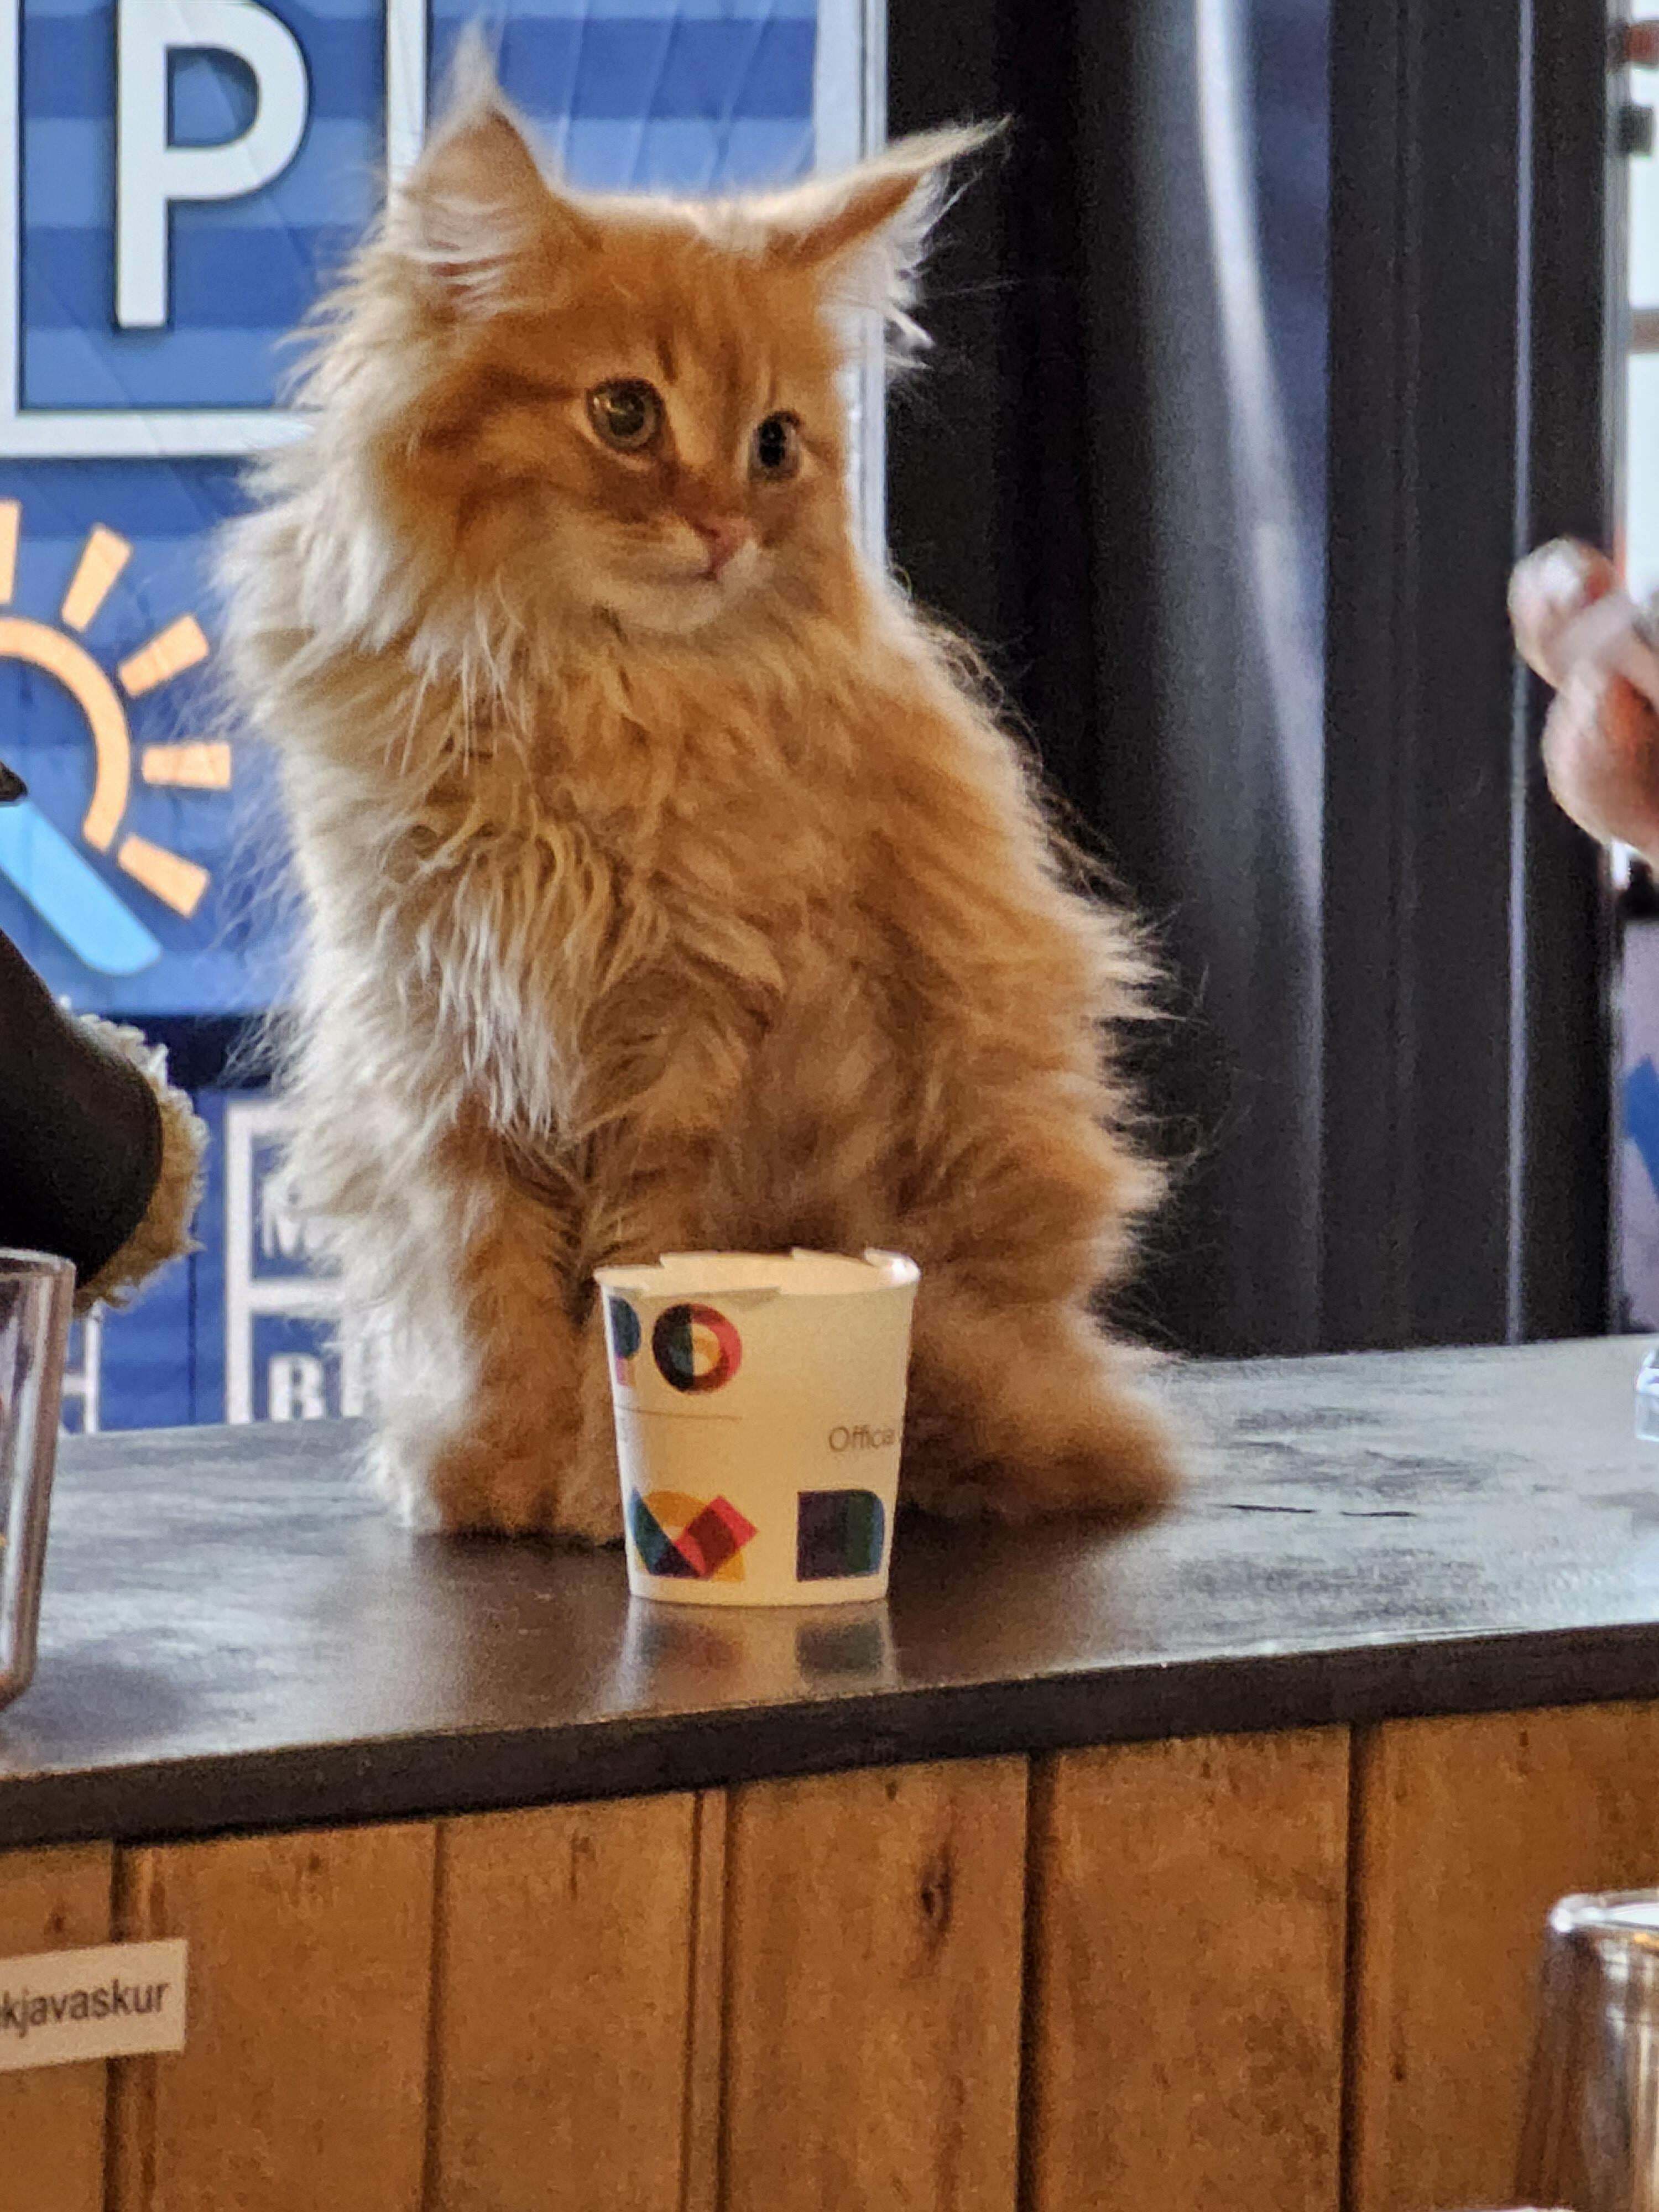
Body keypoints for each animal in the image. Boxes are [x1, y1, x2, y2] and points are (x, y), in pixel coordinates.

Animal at [221, 56, 1177, 1540]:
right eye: (625, 414)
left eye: (775, 444)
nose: (726, 527)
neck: (584, 699)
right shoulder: (439, 1027)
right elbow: (492, 1286)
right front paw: (491, 1469)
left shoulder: (702, 1038)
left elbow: (644, 1290)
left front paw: (594, 1488)